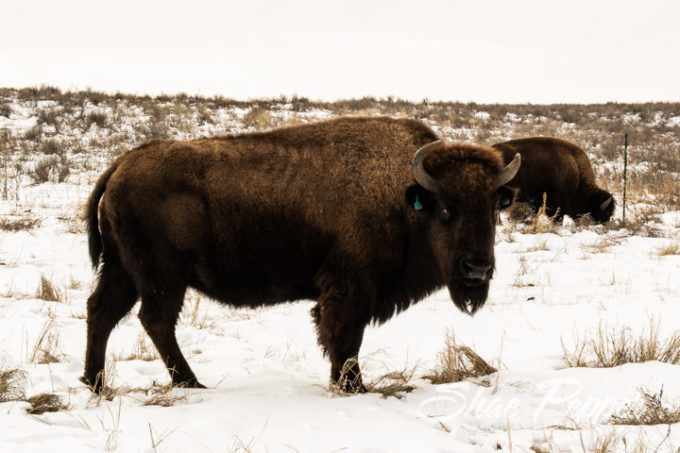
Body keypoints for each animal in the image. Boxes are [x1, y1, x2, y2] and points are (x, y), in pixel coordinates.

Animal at [85, 116, 520, 392]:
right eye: (446, 209)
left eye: (494, 208)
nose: (477, 268)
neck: (405, 196)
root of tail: (122, 164)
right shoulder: (350, 289)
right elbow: (346, 340)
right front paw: (354, 387)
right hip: (162, 277)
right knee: (155, 320)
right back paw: (190, 383)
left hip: (123, 270)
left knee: (102, 311)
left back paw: (96, 383)